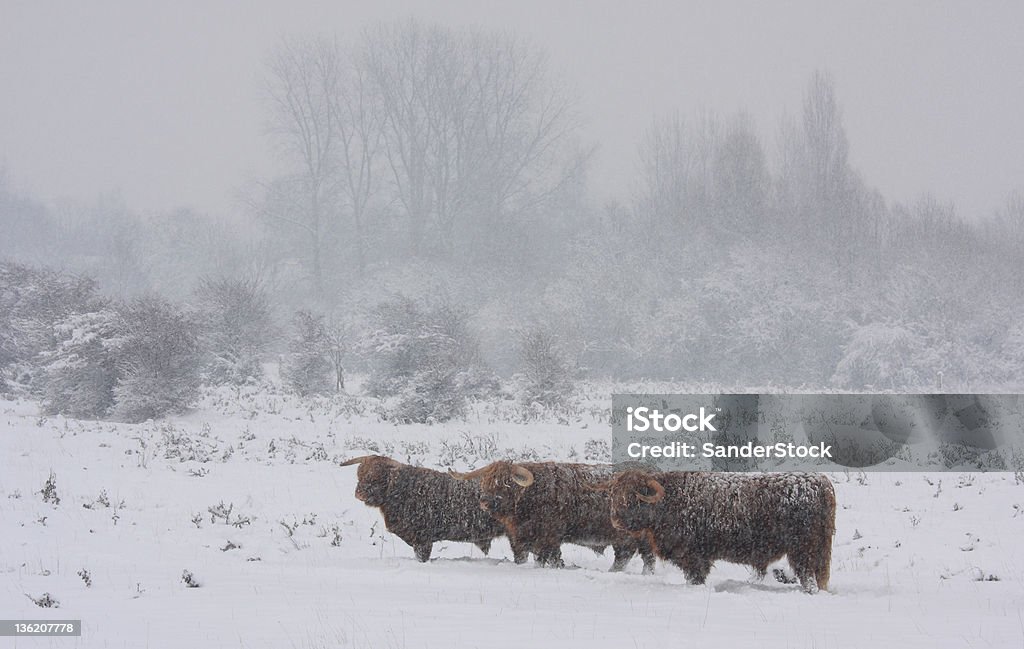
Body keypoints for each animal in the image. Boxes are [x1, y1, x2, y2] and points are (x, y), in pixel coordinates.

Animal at [448, 456, 655, 569]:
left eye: (505, 482)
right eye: (486, 480)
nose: (484, 501)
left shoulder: (549, 538)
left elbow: (550, 559)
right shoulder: (519, 540)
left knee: (631, 557)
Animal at [602, 466, 835, 589]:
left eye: (635, 496)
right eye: (615, 493)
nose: (615, 519)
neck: (671, 499)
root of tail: (819, 482)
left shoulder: (694, 557)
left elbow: (696, 577)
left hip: (803, 552)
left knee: (808, 577)